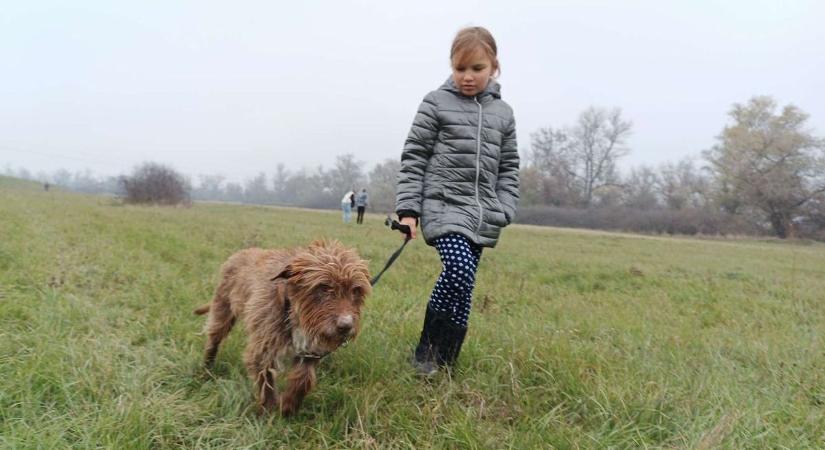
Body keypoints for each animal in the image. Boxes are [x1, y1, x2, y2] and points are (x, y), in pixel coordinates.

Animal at [195, 241, 368, 416]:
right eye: (323, 287)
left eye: (356, 290)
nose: (346, 326)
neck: (292, 308)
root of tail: (242, 252)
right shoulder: (263, 348)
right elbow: (266, 381)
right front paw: (270, 413)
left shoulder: (309, 349)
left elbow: (303, 379)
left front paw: (288, 407)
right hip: (222, 309)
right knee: (213, 339)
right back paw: (206, 368)